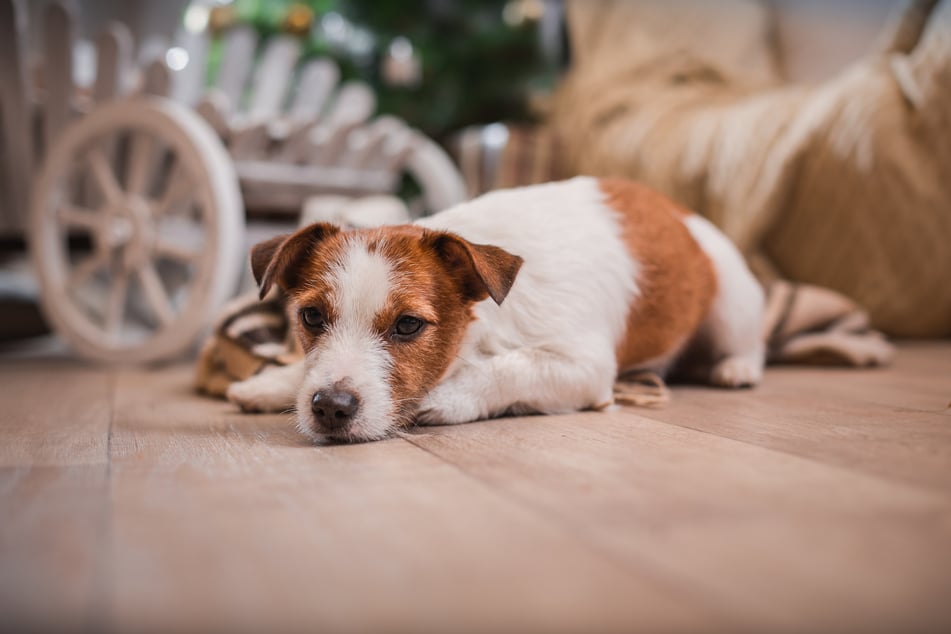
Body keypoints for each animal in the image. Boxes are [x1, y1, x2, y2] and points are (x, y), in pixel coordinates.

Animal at [229, 175, 768, 442]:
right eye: (311, 317)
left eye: (408, 325)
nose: (329, 408)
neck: (481, 328)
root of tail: (681, 211)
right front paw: (272, 382)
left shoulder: (583, 365)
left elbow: (512, 368)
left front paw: (447, 399)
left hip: (732, 303)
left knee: (749, 342)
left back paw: (736, 368)